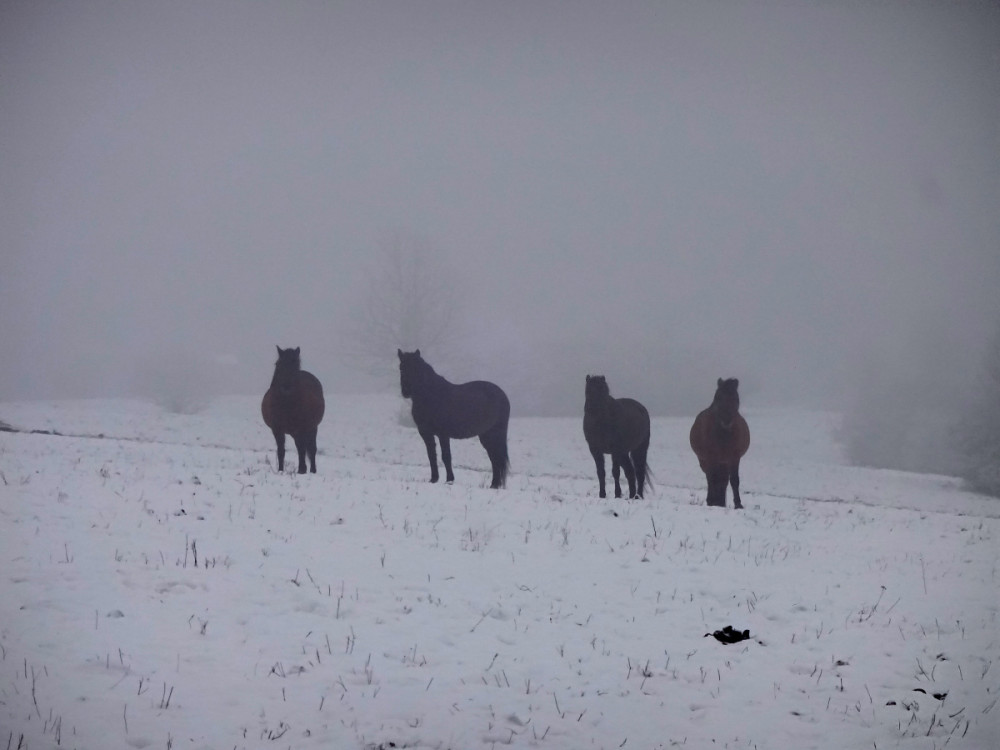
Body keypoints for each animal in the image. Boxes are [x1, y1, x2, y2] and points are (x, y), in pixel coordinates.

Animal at [262, 348, 324, 476]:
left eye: (296, 365)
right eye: (278, 364)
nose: (286, 387)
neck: (286, 405)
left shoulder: (301, 428)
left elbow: (303, 449)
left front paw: (302, 470)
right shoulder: (277, 429)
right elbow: (281, 450)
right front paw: (280, 470)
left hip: (312, 427)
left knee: (311, 448)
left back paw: (312, 470)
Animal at [396, 352, 508, 490]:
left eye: (416, 368)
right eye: (401, 368)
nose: (406, 391)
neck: (431, 395)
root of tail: (502, 395)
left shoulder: (443, 434)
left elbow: (446, 457)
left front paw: (449, 480)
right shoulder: (426, 434)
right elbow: (431, 456)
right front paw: (433, 479)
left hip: (494, 435)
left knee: (496, 459)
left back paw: (494, 485)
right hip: (486, 436)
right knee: (494, 459)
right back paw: (494, 485)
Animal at [688, 378, 752, 508]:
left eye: (735, 398)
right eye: (718, 397)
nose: (726, 420)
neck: (724, 434)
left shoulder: (734, 457)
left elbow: (734, 480)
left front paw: (738, 504)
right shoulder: (710, 457)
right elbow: (712, 478)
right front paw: (711, 501)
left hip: (724, 462)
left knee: (723, 480)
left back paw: (720, 502)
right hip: (706, 460)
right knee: (711, 478)